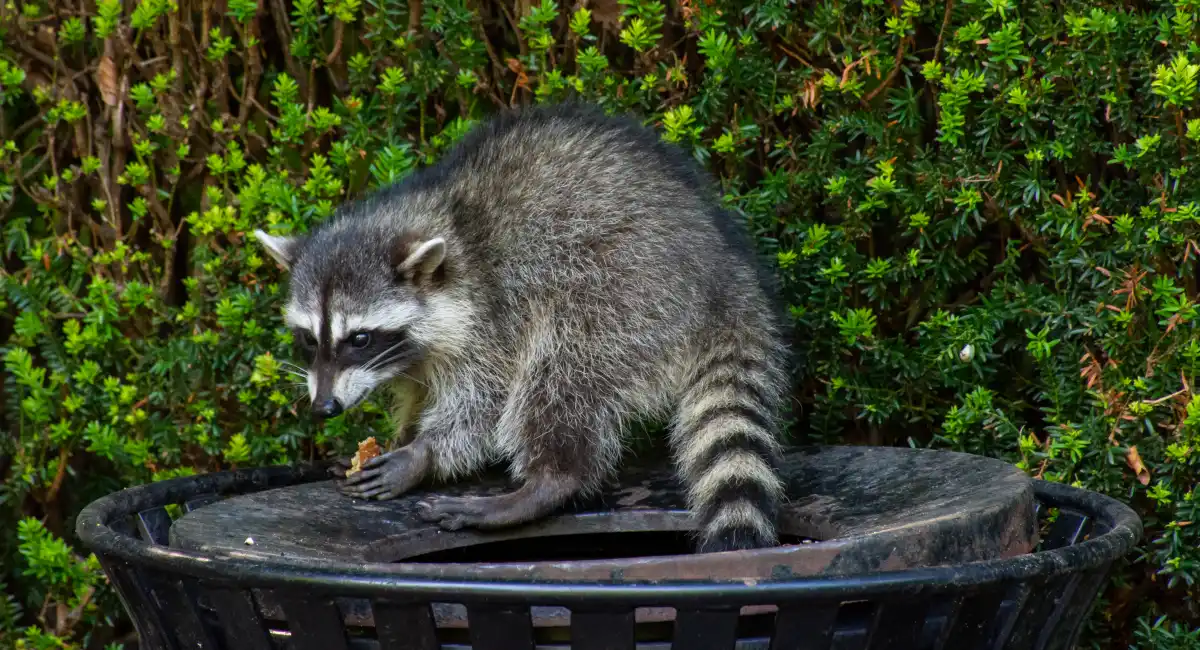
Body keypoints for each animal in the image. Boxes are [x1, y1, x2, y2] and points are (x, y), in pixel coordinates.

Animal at [254, 103, 791, 553]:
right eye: (308, 339)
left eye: (360, 338)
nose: (324, 407)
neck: (443, 218)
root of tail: (725, 271)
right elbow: (418, 392)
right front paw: (401, 435)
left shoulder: (493, 312)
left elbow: (484, 401)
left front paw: (424, 454)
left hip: (625, 289)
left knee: (561, 371)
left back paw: (548, 480)